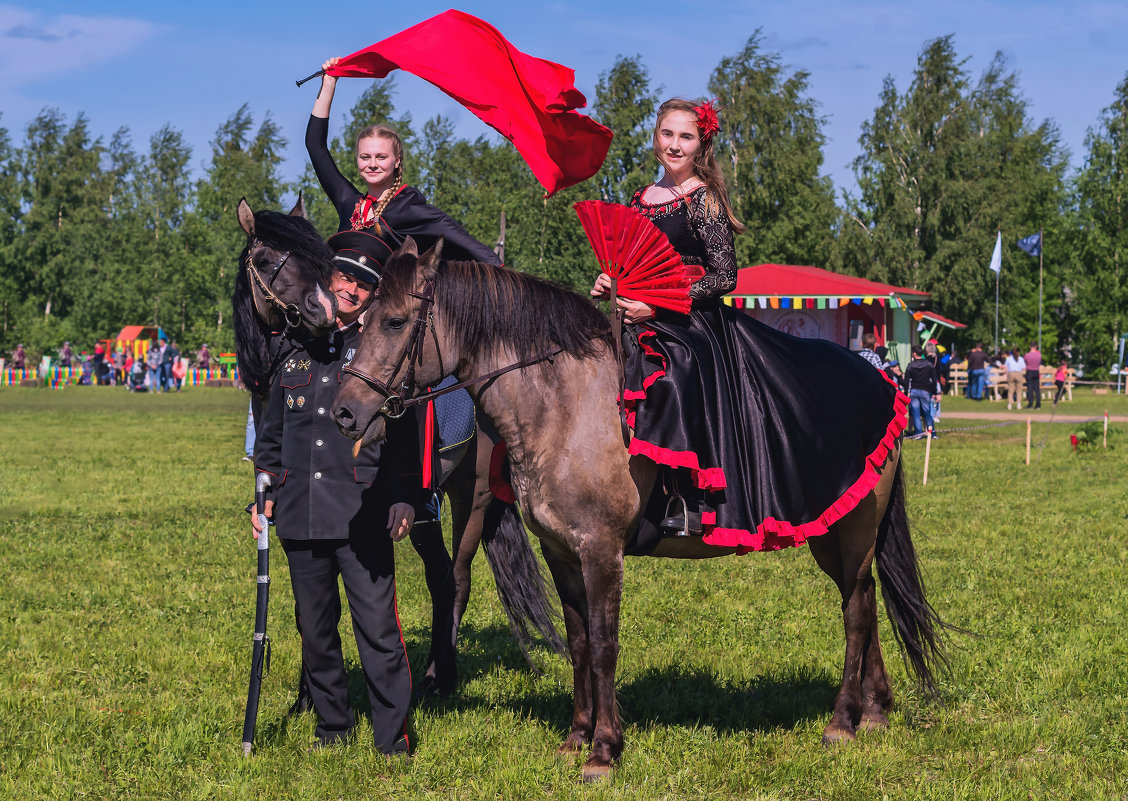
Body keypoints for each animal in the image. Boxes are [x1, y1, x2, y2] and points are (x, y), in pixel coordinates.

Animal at [231, 199, 561, 703]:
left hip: (468, 497)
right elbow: (308, 608)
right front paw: (306, 697)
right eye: (267, 261)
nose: (324, 307)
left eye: (318, 260)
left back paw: (438, 677)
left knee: (454, 581)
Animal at [329, 240, 947, 785]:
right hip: (832, 533)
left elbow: (605, 645)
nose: (345, 413)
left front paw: (604, 750)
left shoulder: (602, 550)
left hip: (856, 529)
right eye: (364, 319)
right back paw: (874, 711)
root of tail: (883, 379)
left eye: (394, 322)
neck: (564, 408)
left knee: (856, 613)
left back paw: (842, 721)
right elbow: (579, 642)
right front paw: (576, 737)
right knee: (864, 601)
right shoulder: (561, 552)